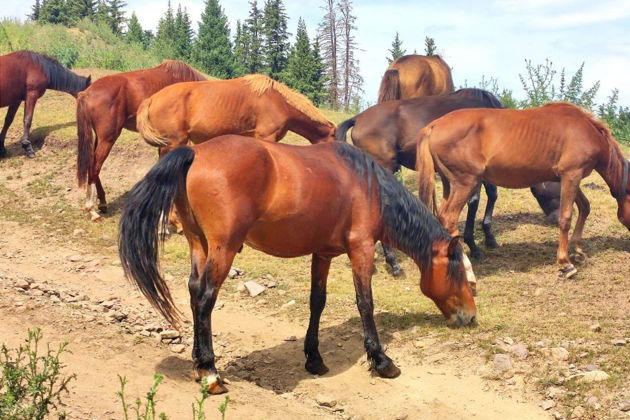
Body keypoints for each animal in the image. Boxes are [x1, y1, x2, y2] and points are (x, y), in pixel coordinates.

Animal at [75, 61, 206, 223]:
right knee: (94, 167)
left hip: (100, 139)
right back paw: (92, 210)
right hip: (107, 139)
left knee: (92, 165)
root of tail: (86, 93)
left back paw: (102, 203)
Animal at [118, 137, 476, 394]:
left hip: (199, 244)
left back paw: (198, 364)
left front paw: (314, 358)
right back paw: (210, 372)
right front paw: (381, 360)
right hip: (223, 248)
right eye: (463, 276)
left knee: (194, 292)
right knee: (205, 298)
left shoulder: (323, 253)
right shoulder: (361, 249)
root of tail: (195, 152)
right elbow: (365, 303)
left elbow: (317, 302)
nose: (471, 317)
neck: (368, 185)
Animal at [338, 89, 564, 262]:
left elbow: (488, 196)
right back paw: (393, 261)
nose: (555, 219)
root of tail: (358, 118)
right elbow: (478, 200)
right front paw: (477, 244)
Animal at [420, 101, 630, 278]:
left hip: (450, 185)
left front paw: (577, 249)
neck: (586, 131)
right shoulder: (571, 175)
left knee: (442, 218)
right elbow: (566, 218)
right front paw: (565, 263)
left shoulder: (569, 178)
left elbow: (585, 207)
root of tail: (435, 125)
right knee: (449, 219)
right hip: (466, 183)